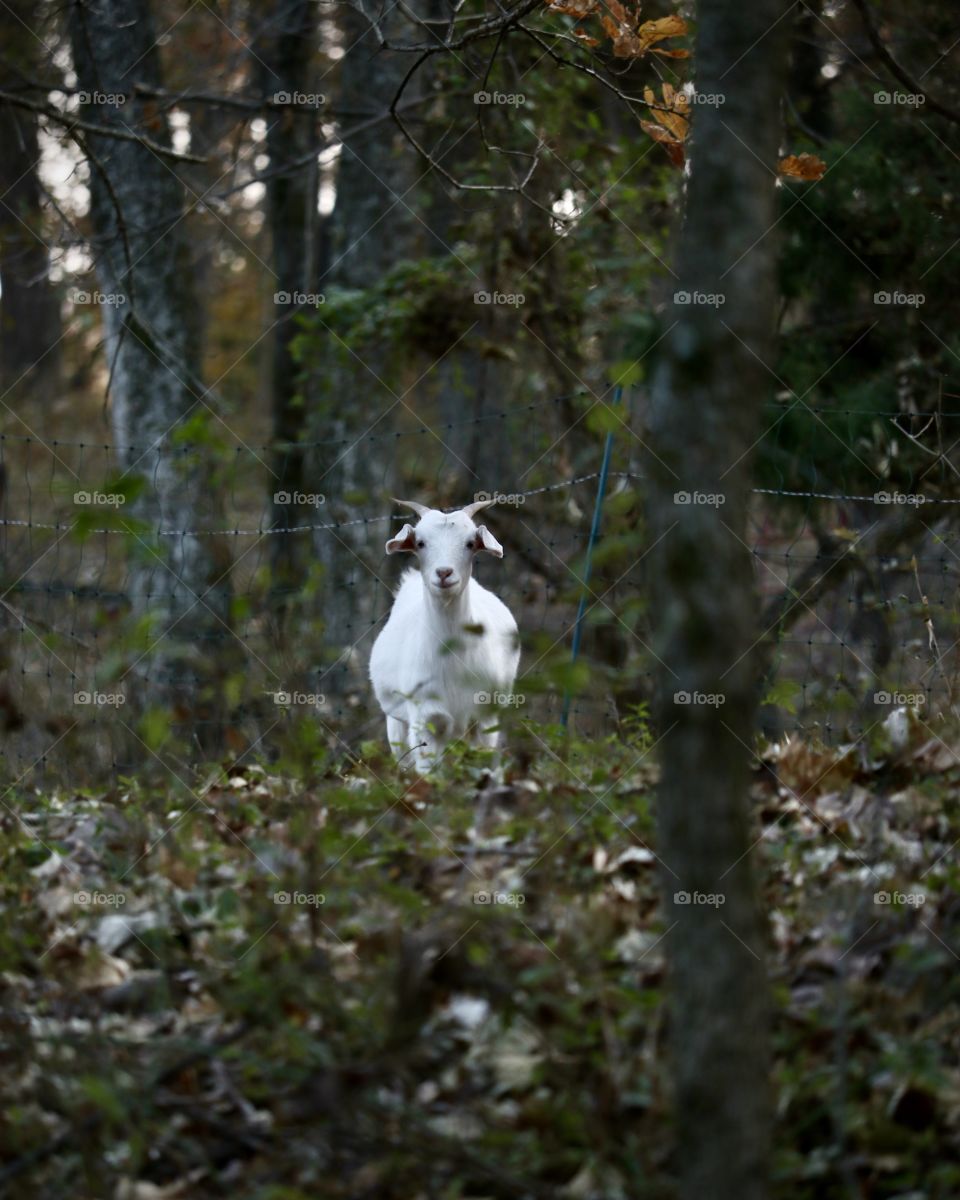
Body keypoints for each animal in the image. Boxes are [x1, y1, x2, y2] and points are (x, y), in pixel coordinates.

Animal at [369, 498, 520, 773]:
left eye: (470, 543)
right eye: (420, 542)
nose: (443, 573)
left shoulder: (484, 720)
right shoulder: (426, 720)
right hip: (396, 722)